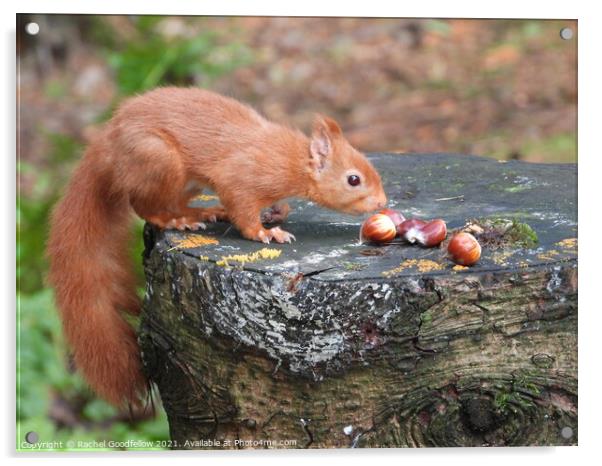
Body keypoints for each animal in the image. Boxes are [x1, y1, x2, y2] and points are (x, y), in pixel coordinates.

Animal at [45, 87, 384, 408]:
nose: (382, 203)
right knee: (145, 206)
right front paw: (267, 233)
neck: (290, 160)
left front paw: (277, 212)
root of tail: (107, 143)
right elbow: (242, 209)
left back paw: (203, 212)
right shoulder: (241, 178)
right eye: (353, 179)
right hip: (158, 160)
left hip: (186, 181)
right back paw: (180, 220)